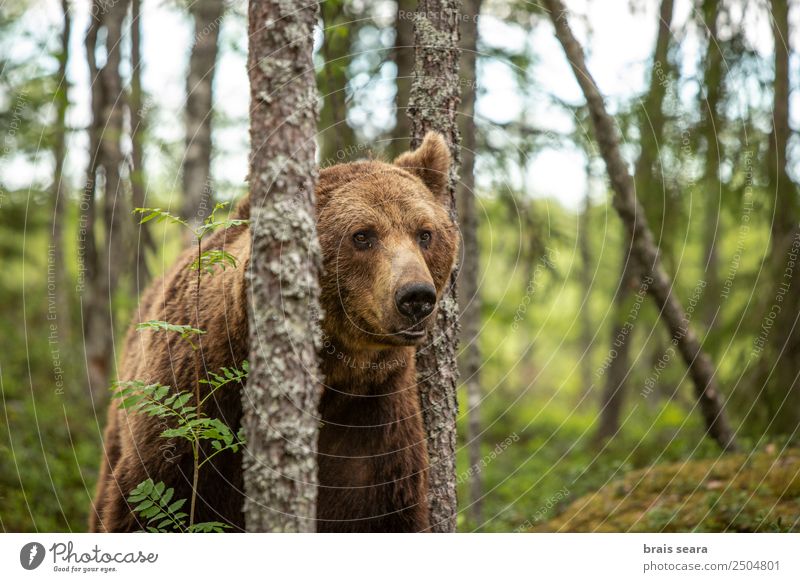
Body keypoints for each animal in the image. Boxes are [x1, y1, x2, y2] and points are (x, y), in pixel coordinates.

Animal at [89, 132, 456, 532]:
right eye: (362, 235)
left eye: (425, 234)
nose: (416, 297)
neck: (335, 377)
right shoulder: (196, 411)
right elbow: (147, 504)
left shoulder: (372, 427)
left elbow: (382, 512)